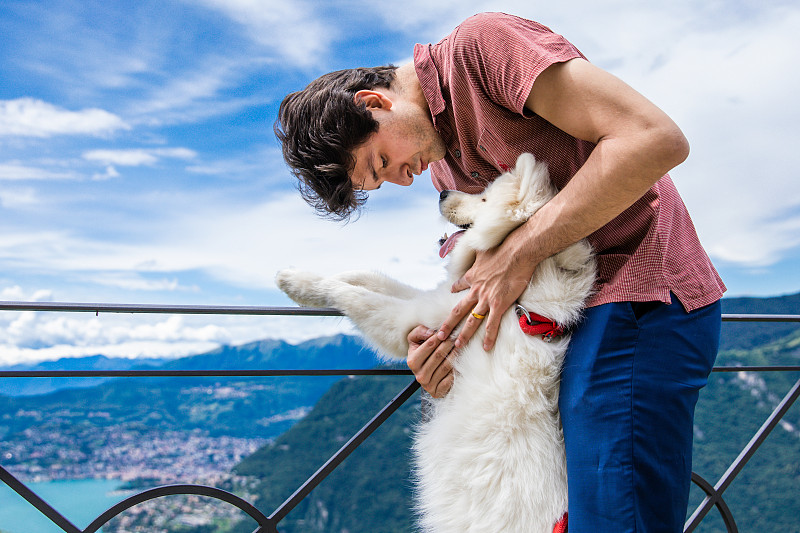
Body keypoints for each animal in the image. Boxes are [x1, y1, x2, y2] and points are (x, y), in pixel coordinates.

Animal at [276, 152, 592, 528]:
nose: (441, 193)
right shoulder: (432, 302)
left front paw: (297, 283)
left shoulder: (411, 319)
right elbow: (368, 277)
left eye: (484, 199)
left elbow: (350, 294)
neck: (520, 296)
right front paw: (315, 273)